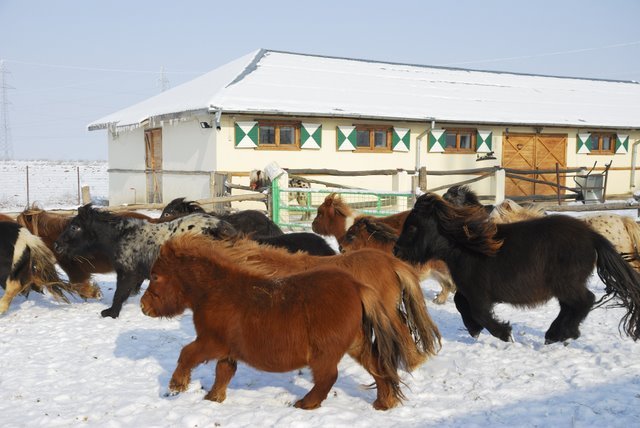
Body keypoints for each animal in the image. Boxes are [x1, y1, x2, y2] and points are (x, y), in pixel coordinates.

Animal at [55, 204, 238, 318]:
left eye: (75, 227)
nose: (57, 245)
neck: (120, 236)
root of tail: (220, 227)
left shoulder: (127, 273)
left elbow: (119, 294)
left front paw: (111, 313)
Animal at [139, 236, 410, 410]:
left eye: (155, 276)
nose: (143, 306)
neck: (214, 290)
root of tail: (356, 286)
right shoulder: (227, 351)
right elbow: (223, 373)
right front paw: (213, 399)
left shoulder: (211, 342)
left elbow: (187, 354)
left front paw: (177, 385)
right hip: (356, 344)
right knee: (377, 366)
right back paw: (384, 403)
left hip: (325, 353)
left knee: (327, 377)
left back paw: (305, 403)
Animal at [392, 194, 640, 344]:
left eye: (412, 227)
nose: (395, 250)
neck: (466, 247)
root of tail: (592, 237)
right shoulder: (469, 290)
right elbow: (461, 303)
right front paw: (474, 329)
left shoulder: (479, 293)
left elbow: (479, 312)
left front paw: (504, 334)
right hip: (565, 287)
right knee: (571, 307)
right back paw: (560, 334)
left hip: (567, 284)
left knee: (584, 301)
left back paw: (559, 334)